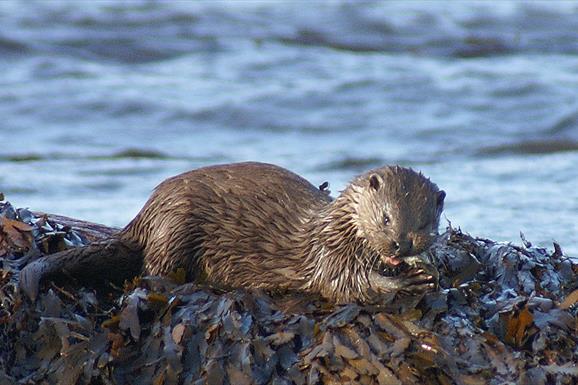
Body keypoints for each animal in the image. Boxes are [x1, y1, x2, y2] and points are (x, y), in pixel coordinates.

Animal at [20, 160, 444, 302]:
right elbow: (346, 285)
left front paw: (425, 269)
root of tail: (149, 209)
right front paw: (406, 282)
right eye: (386, 217)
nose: (399, 244)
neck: (336, 227)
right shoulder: (329, 253)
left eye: (424, 224)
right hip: (175, 228)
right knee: (151, 270)